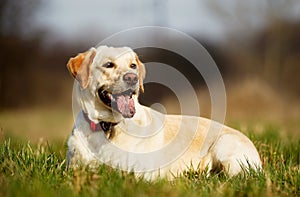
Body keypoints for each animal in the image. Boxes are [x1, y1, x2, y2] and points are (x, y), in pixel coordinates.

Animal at [67, 45, 262, 180]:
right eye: (108, 65)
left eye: (133, 65)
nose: (132, 78)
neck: (108, 126)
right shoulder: (73, 169)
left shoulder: (140, 173)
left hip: (224, 145)